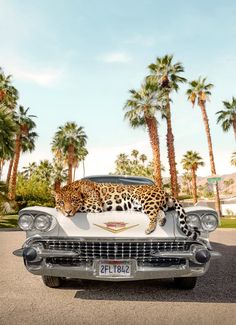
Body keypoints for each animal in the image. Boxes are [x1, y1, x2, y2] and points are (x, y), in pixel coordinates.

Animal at [53, 178, 199, 239]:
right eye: (61, 202)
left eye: (73, 201)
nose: (67, 212)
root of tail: (164, 191)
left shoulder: (95, 204)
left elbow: (82, 206)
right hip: (143, 206)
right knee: (159, 211)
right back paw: (161, 220)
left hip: (147, 200)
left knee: (153, 214)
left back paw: (150, 228)